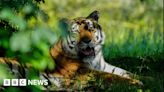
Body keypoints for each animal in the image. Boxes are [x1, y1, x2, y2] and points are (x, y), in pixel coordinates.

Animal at [0, 10, 142, 90]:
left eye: (90, 29)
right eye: (76, 32)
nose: (86, 40)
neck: (94, 60)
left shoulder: (104, 66)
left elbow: (125, 72)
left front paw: (142, 78)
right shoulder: (83, 72)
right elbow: (111, 76)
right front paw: (138, 83)